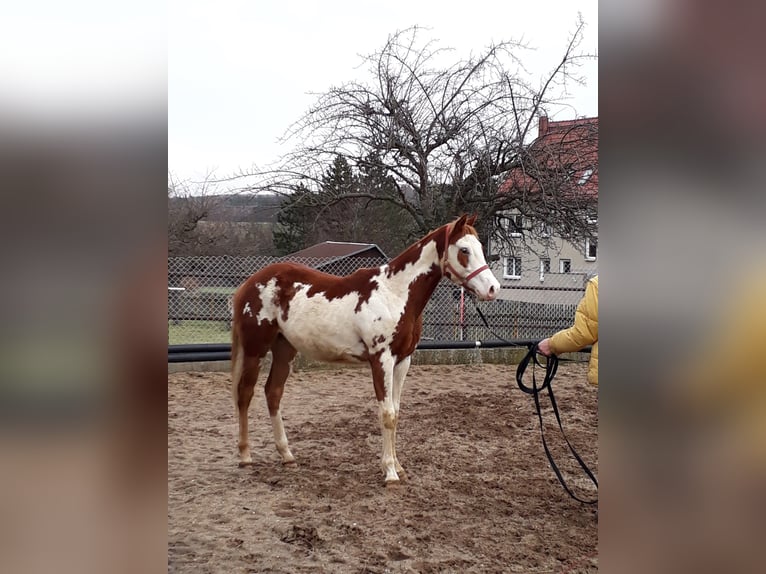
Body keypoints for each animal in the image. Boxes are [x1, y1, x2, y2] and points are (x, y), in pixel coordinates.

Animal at [230, 214, 500, 485]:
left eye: (480, 247)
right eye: (464, 249)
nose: (493, 289)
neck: (395, 294)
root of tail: (249, 283)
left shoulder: (403, 361)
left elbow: (396, 412)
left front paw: (398, 466)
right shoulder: (381, 359)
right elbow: (387, 414)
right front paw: (390, 472)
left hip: (284, 349)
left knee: (273, 393)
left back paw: (287, 455)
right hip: (255, 350)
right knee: (245, 393)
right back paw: (245, 456)